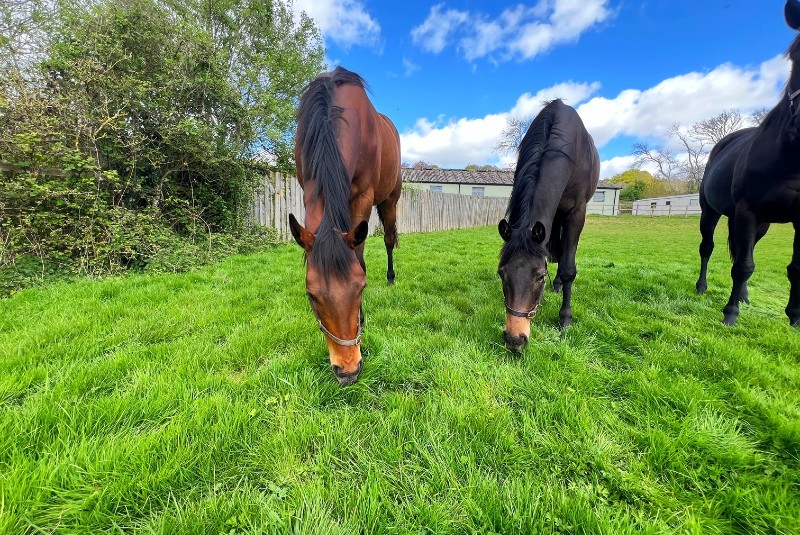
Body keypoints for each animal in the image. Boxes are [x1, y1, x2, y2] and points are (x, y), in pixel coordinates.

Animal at [288, 66, 402, 385]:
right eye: (311, 295)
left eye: (361, 288)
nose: (348, 370)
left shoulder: (363, 198)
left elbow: (360, 257)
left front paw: (362, 317)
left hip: (389, 199)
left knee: (389, 238)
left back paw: (391, 277)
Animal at [497, 99, 600, 351]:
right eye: (501, 273)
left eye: (540, 276)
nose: (515, 338)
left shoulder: (577, 213)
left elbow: (568, 267)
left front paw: (565, 318)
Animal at [695, 0, 800, 327]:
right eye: (795, 54)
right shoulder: (746, 211)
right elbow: (742, 266)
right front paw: (730, 314)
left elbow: (794, 268)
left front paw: (794, 317)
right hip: (713, 212)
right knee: (709, 248)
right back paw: (703, 287)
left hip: (762, 223)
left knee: (747, 250)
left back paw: (743, 295)